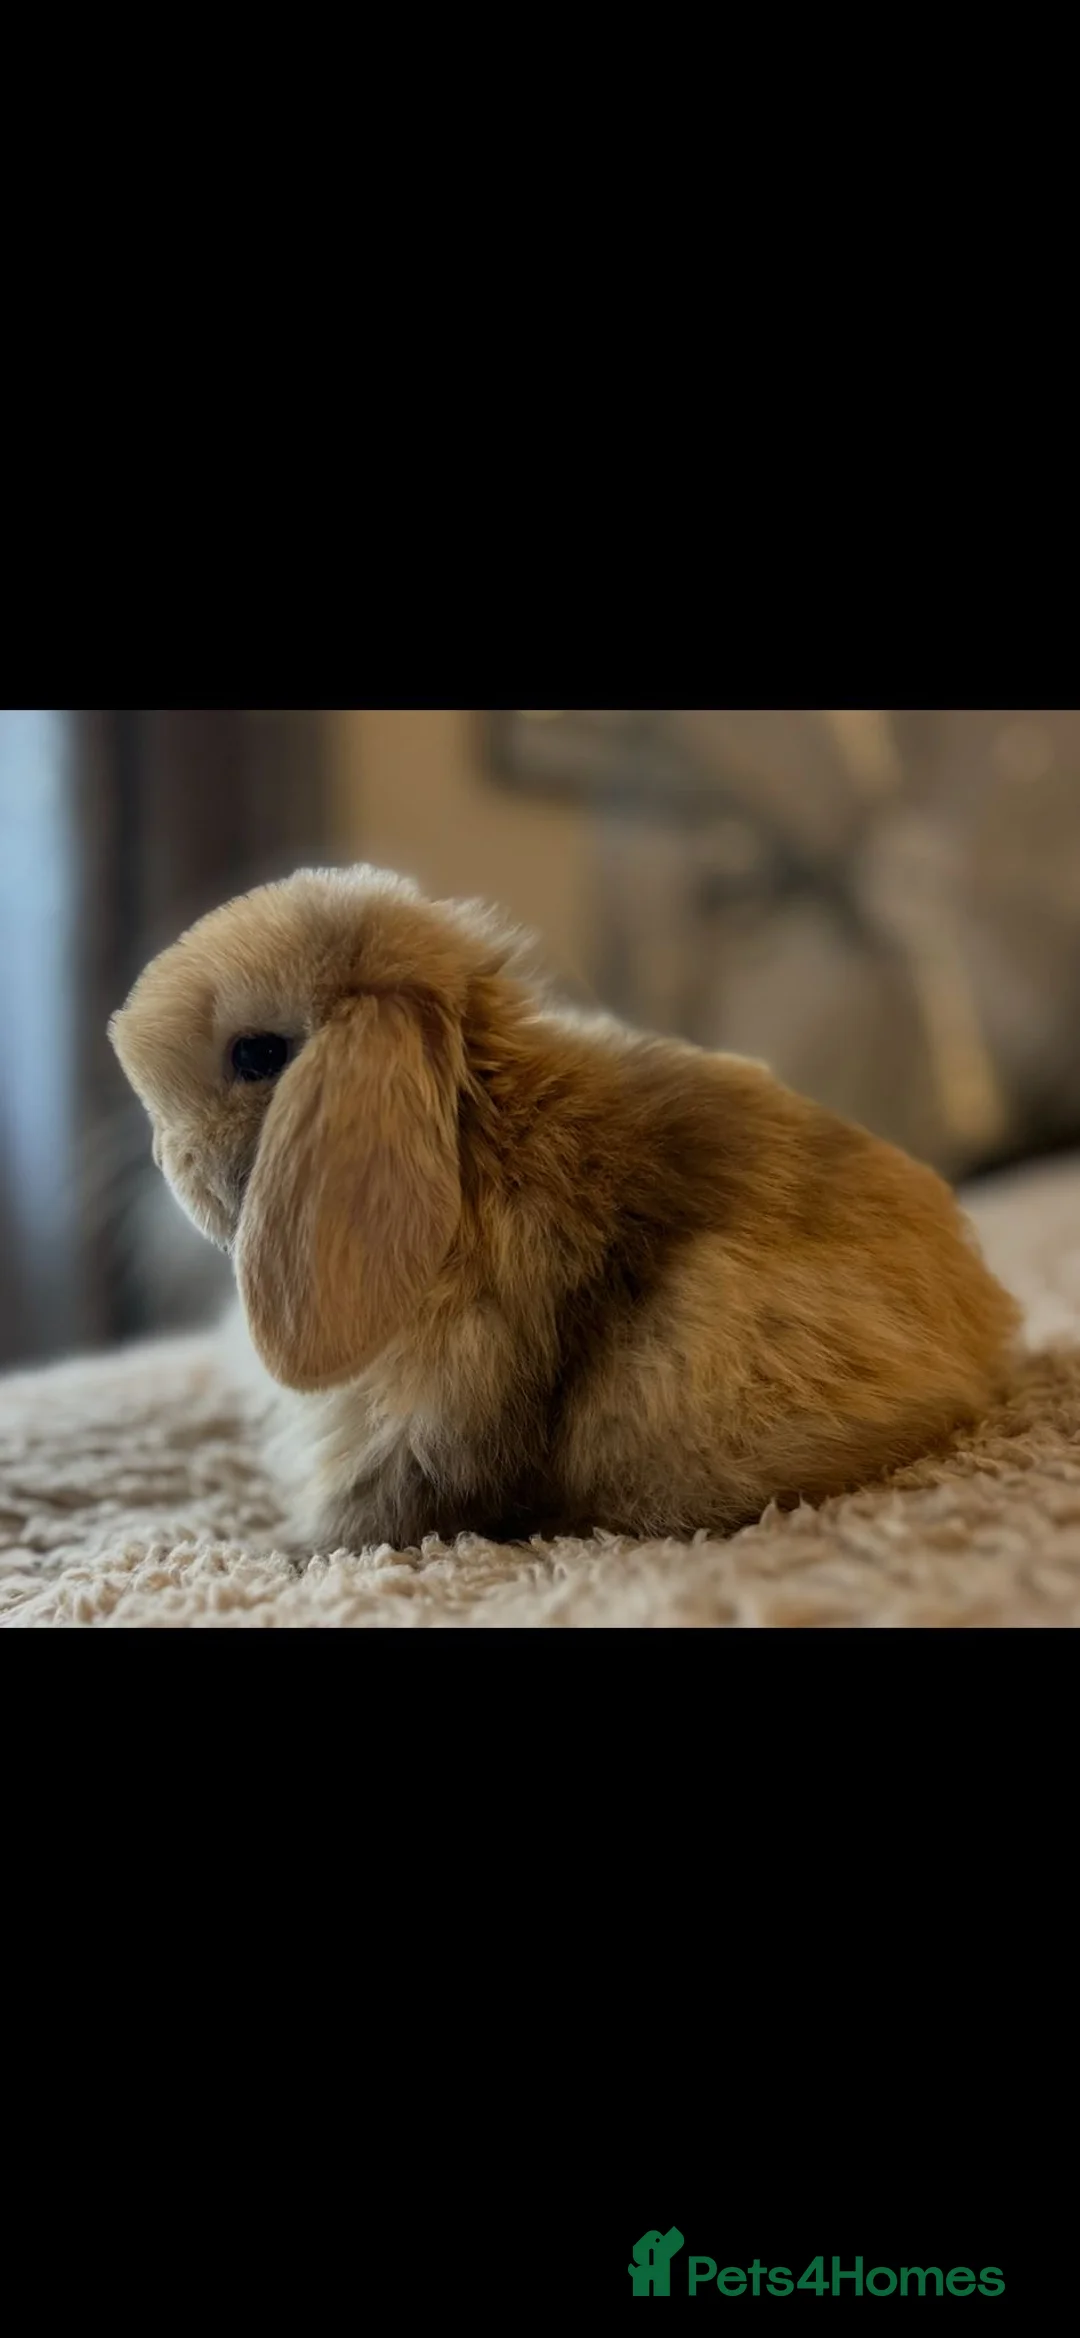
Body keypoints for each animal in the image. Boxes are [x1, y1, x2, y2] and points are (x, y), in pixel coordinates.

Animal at [108, 862, 1022, 1552]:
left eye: (258, 1056)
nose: (165, 1157)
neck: (477, 1135)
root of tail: (985, 1343)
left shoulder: (434, 1420)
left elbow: (384, 1510)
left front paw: (281, 1548)